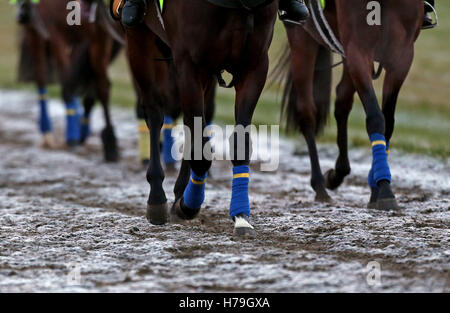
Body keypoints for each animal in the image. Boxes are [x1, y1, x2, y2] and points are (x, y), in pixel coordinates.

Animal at [15, 0, 121, 161]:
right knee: (41, 78)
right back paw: (49, 133)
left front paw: (110, 144)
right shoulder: (53, 30)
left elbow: (101, 87)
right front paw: (73, 135)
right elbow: (68, 81)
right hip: (37, 35)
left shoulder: (100, 35)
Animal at [123, 0, 278, 234]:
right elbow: (200, 153)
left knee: (192, 124)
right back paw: (158, 197)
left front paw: (241, 215)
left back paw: (179, 191)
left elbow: (239, 143)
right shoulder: (189, 65)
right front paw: (189, 204)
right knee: (155, 113)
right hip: (140, 42)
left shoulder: (255, 65)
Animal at [274, 0, 426, 210]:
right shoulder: (358, 49)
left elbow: (388, 122)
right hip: (301, 37)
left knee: (342, 101)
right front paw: (384, 189)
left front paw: (376, 188)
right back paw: (320, 186)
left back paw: (337, 174)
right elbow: (376, 118)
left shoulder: (401, 55)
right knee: (306, 112)